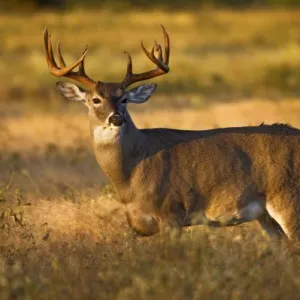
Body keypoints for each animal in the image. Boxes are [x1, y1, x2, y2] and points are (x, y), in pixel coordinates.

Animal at [44, 26, 300, 241]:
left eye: (124, 99)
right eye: (95, 100)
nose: (116, 118)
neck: (132, 172)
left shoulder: (172, 211)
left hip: (289, 198)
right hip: (265, 216)